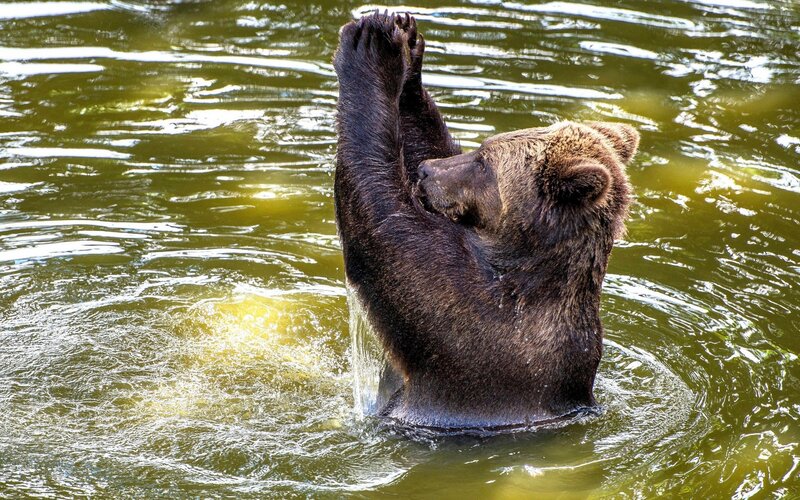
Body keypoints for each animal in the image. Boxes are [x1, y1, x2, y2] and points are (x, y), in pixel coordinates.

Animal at [333, 12, 639, 434]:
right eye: (479, 148)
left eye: (484, 162)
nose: (427, 172)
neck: (513, 262)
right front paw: (408, 47)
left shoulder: (466, 318)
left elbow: (382, 223)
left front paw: (372, 48)